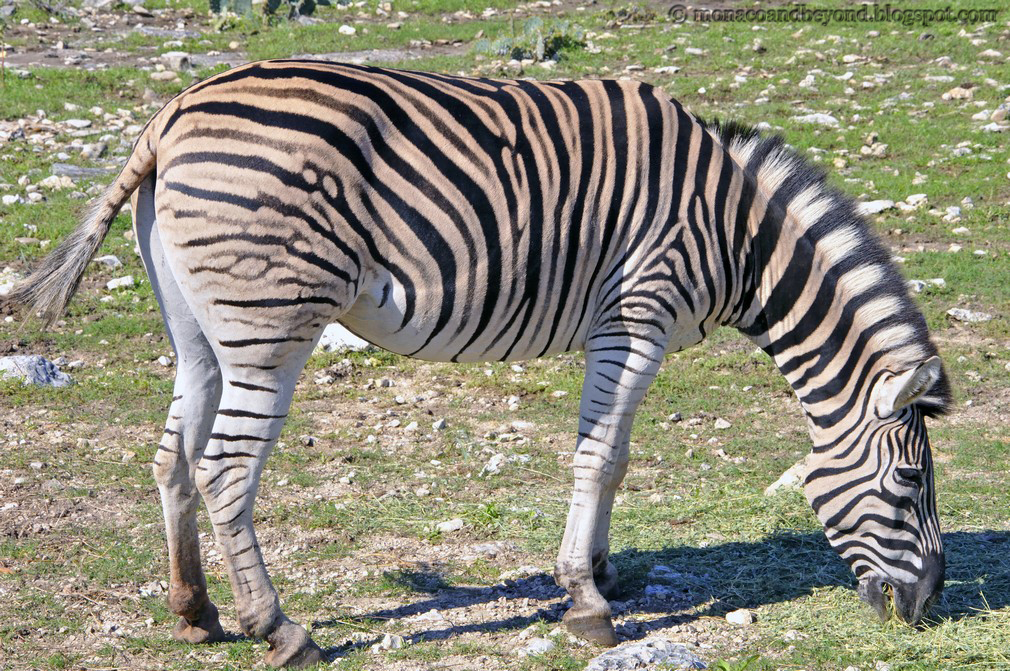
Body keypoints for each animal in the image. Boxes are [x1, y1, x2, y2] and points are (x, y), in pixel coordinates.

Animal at [7, 60, 950, 667]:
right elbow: (601, 457)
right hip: (271, 324)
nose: (930, 609)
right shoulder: (637, 314)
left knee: (172, 458)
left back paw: (196, 612)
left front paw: (603, 571)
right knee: (224, 469)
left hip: (201, 330)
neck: (738, 233)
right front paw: (587, 604)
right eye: (909, 487)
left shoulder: (620, 327)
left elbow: (612, 459)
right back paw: (281, 629)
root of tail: (171, 114)